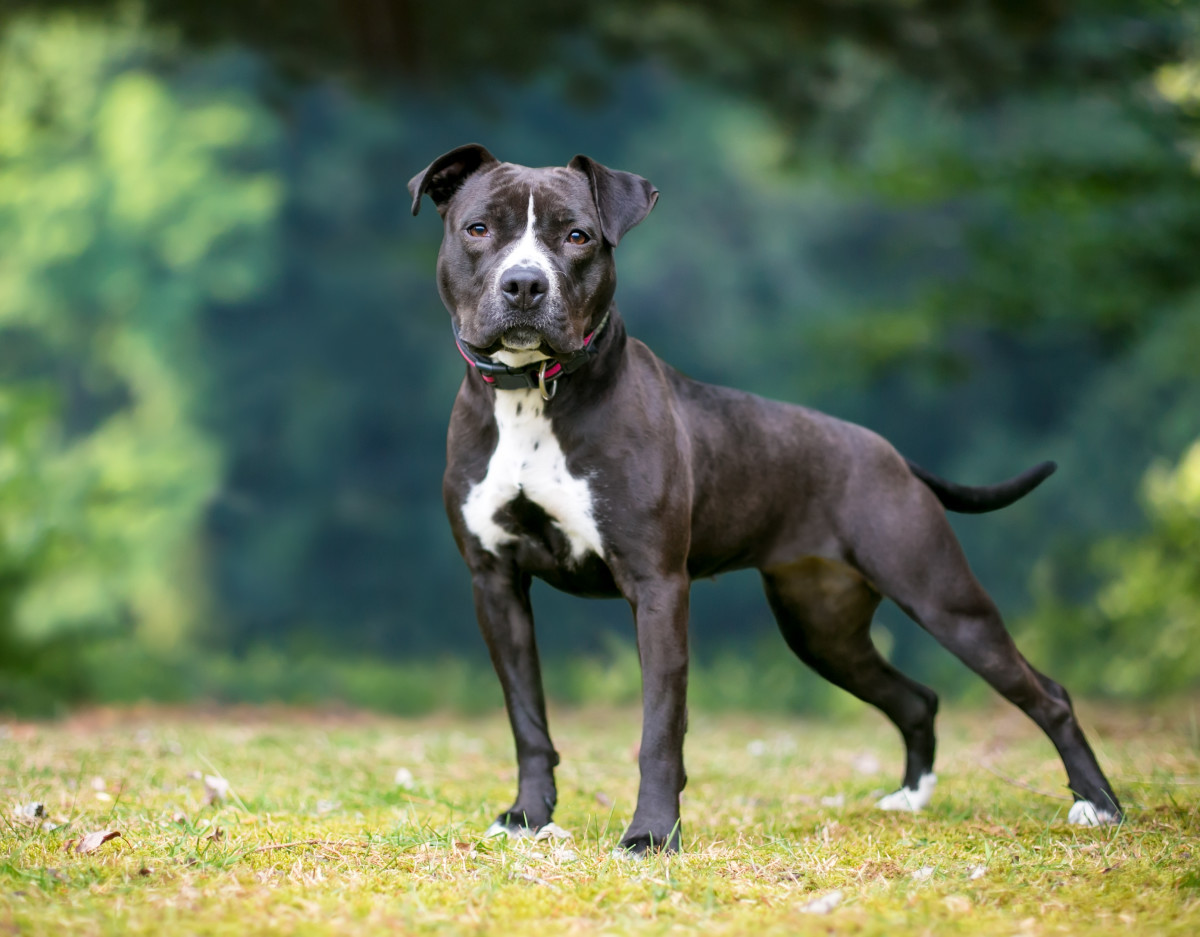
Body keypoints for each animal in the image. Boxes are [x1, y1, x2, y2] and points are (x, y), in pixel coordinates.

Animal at [410, 142, 1123, 849]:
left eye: (577, 236)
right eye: (479, 229)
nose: (525, 284)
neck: (534, 396)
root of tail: (890, 454)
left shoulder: (657, 585)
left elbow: (659, 727)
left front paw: (651, 834)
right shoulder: (496, 584)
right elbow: (527, 718)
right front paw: (529, 817)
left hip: (943, 599)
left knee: (1046, 694)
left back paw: (1098, 804)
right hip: (822, 630)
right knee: (916, 698)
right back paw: (911, 797)